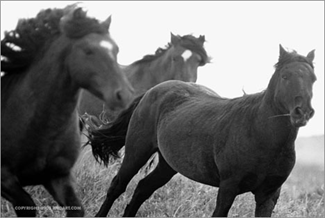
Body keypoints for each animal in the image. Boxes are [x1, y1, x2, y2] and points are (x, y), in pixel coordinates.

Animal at [0, 4, 133, 216]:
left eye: (116, 49)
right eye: (88, 50)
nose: (124, 95)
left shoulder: (58, 177)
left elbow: (76, 209)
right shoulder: (6, 179)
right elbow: (27, 204)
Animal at [88, 44, 314, 216]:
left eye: (313, 78)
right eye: (285, 76)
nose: (302, 112)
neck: (259, 134)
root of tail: (152, 91)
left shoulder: (268, 195)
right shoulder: (228, 187)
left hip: (167, 165)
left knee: (143, 189)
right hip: (137, 152)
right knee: (118, 185)